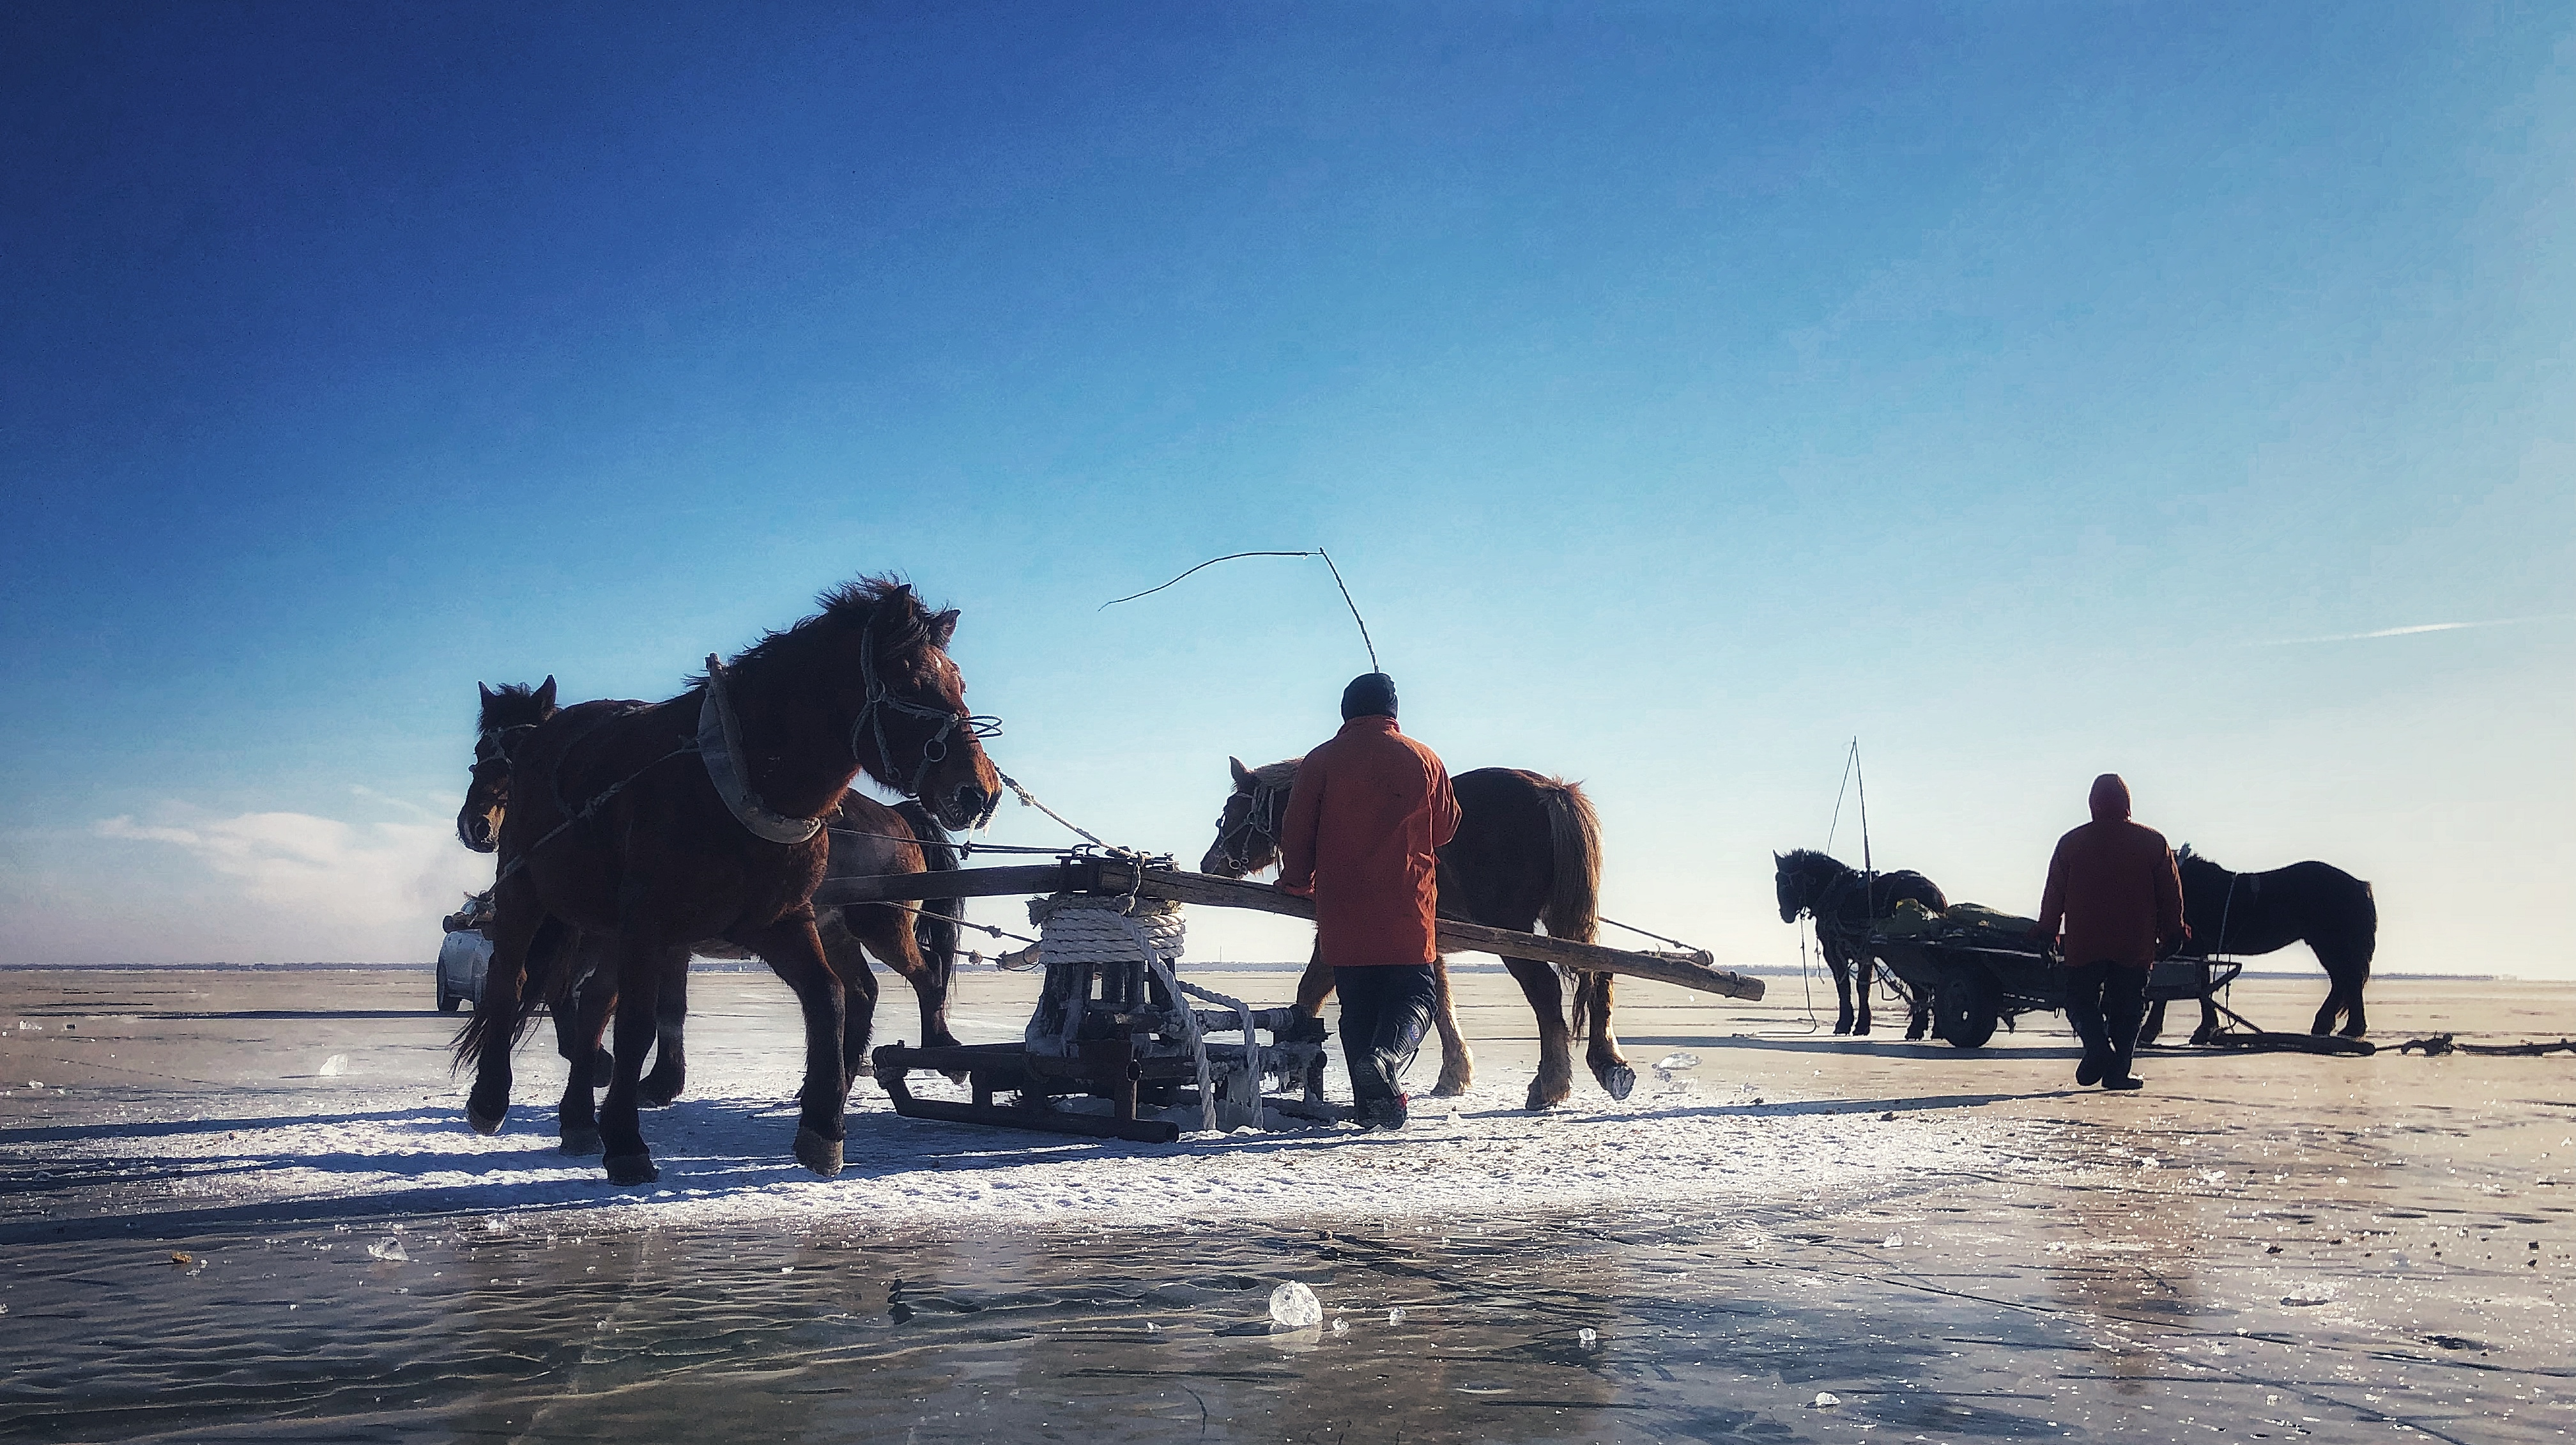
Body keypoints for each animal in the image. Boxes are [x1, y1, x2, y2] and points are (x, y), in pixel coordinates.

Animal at [453, 576, 994, 1184]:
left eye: (957, 682)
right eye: (913, 681)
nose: (979, 790)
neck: (735, 778)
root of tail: (900, 816)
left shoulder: (776, 921)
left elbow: (824, 997)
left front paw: (822, 1125)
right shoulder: (650, 926)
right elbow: (633, 1020)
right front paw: (627, 1135)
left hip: (876, 922)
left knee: (912, 976)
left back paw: (930, 1049)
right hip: (528, 893)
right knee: (511, 980)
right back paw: (494, 1100)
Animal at [1195, 762, 1618, 1108]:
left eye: (1231, 812)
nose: (1208, 863)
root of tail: (1552, 791)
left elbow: (1309, 990)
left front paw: (1295, 1061)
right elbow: (1441, 1003)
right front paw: (1454, 1074)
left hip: (1513, 932)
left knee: (1546, 992)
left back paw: (1551, 1084)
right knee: (1598, 973)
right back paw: (1608, 1062)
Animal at [1772, 844, 1947, 1035]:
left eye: (1789, 881)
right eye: (1778, 879)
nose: (1785, 913)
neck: (1835, 895)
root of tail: (1935, 894)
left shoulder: (1844, 951)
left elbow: (1853, 987)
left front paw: (1853, 1024)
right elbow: (1851, 987)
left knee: (1922, 986)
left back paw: (1917, 1029)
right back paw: (1934, 1029)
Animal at [2133, 839, 2370, 1040]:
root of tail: (2359, 885)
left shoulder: (2188, 949)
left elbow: (2173, 990)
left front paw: (2150, 1031)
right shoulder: (2198, 951)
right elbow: (2201, 988)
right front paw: (2207, 1029)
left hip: (2330, 943)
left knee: (2349, 978)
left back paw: (2352, 1029)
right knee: (2342, 980)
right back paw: (2327, 1025)